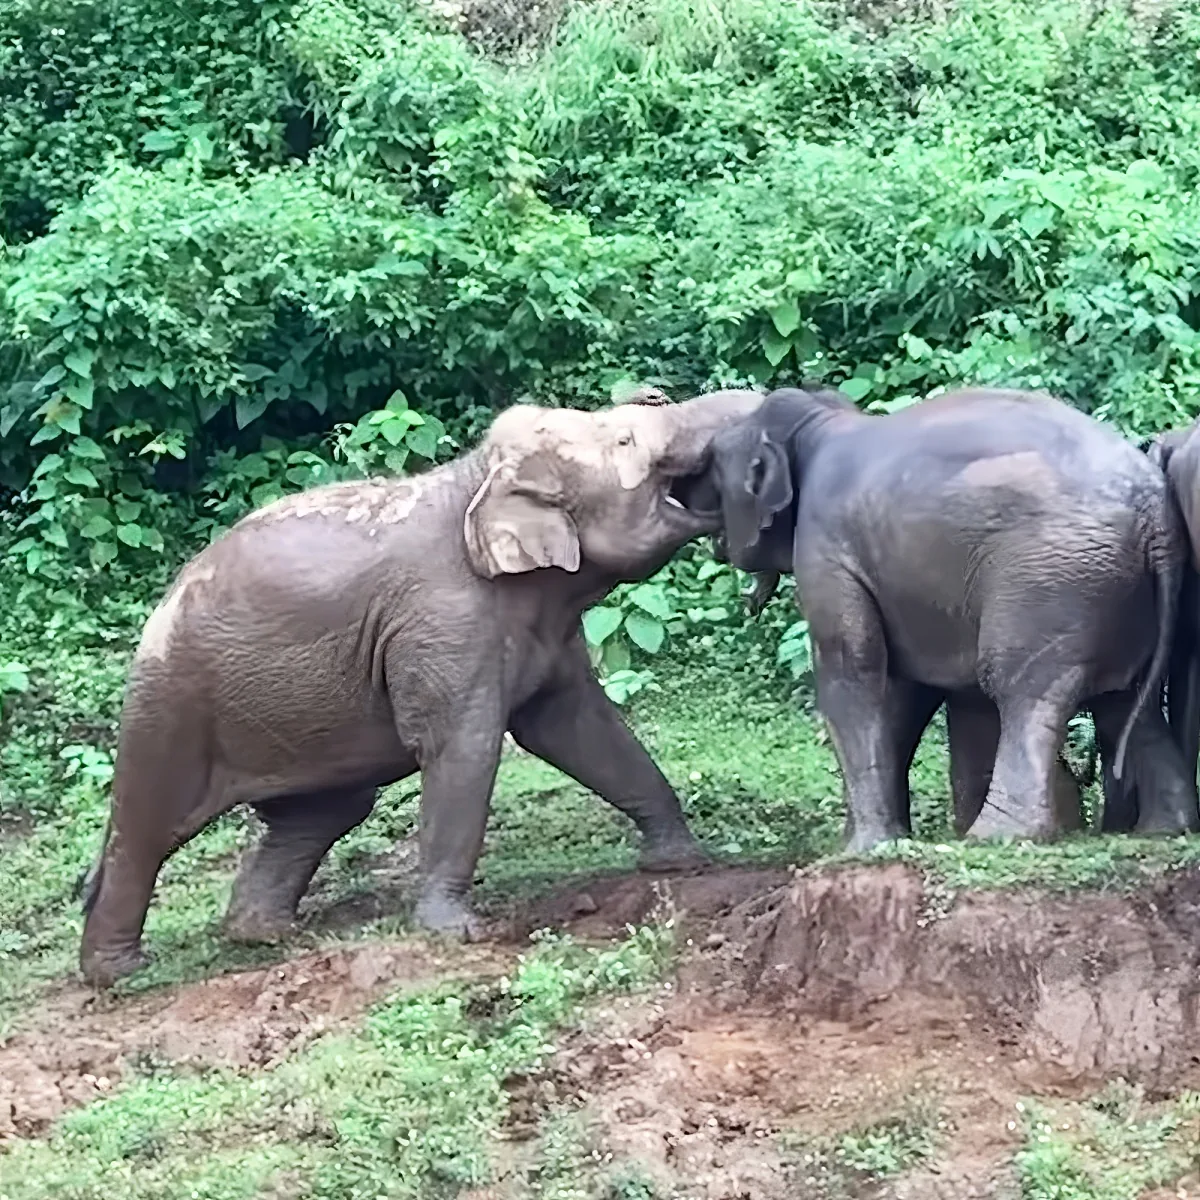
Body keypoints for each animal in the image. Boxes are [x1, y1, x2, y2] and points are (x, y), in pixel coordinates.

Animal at [77, 387, 764, 987]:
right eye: (624, 440)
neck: (476, 482)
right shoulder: (446, 622)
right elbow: (466, 748)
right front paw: (455, 933)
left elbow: (577, 728)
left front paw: (680, 862)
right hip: (172, 698)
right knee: (149, 825)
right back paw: (120, 973)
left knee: (324, 813)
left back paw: (266, 935)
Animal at [703, 384, 1199, 852]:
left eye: (712, 472)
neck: (820, 421)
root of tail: (1153, 506)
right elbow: (907, 691)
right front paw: (873, 839)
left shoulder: (825, 547)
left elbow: (852, 666)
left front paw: (864, 847)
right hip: (1117, 592)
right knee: (1126, 702)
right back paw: (1164, 829)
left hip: (1054, 583)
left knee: (1023, 690)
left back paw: (999, 836)